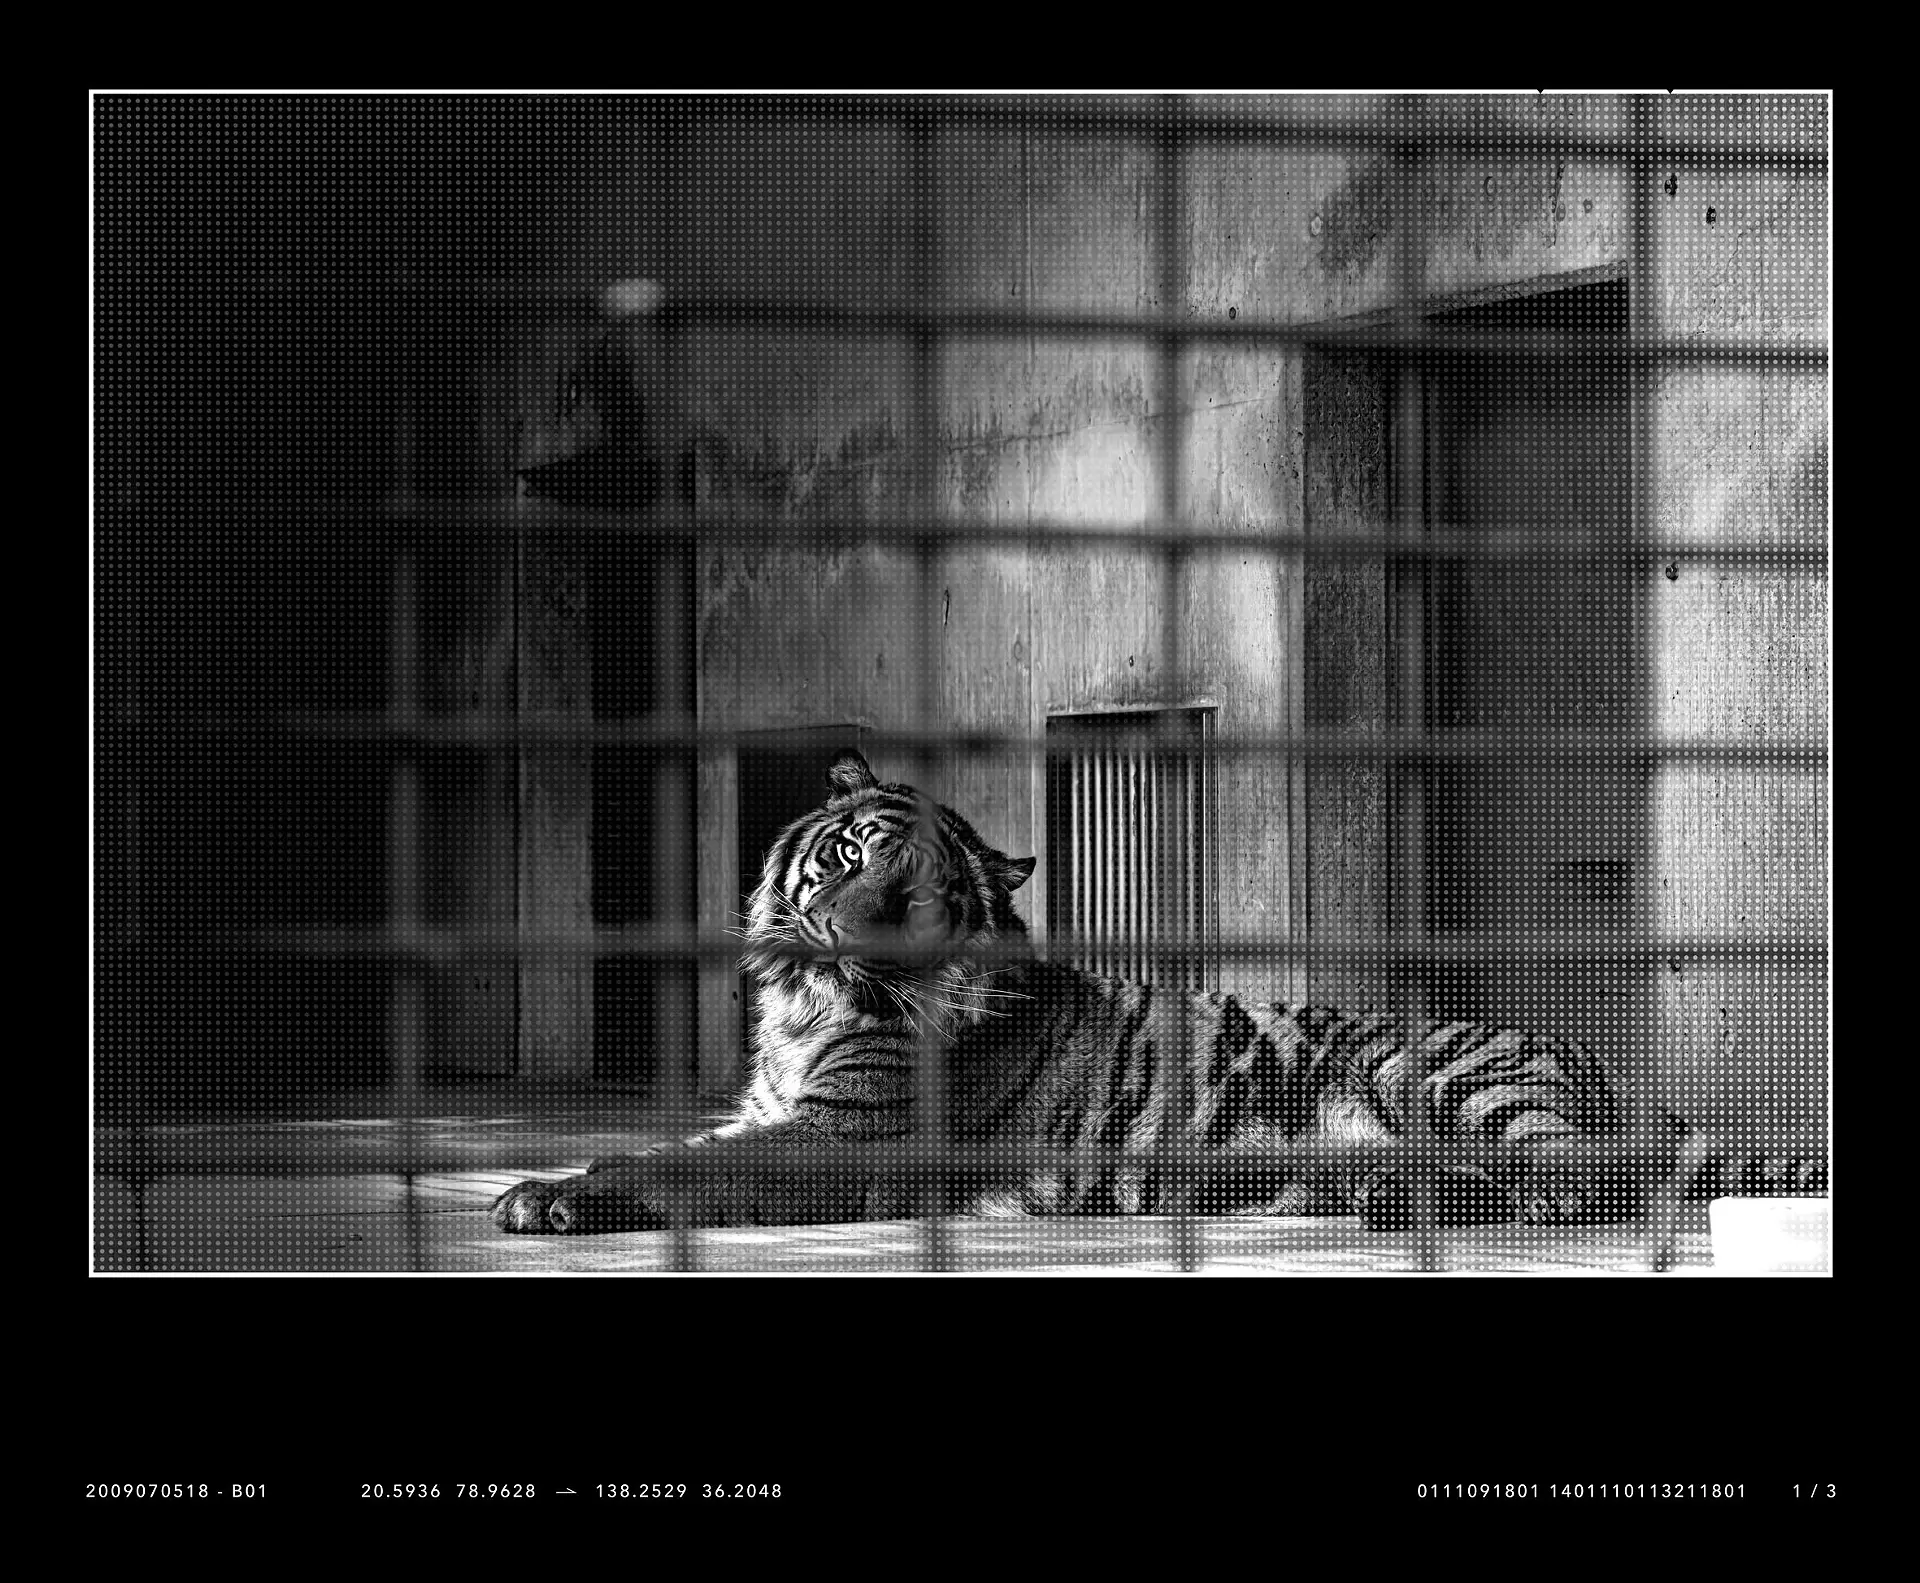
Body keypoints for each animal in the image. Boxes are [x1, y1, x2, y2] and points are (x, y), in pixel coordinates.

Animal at [491, 748, 1827, 1236]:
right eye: (857, 852)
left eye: (924, 892)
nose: (869, 926)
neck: (810, 999)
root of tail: (1608, 1065)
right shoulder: (778, 1110)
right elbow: (677, 1146)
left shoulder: (843, 1138)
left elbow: (671, 1164)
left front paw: (547, 1194)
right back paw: (1384, 1194)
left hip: (1440, 1065)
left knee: (1593, 1176)